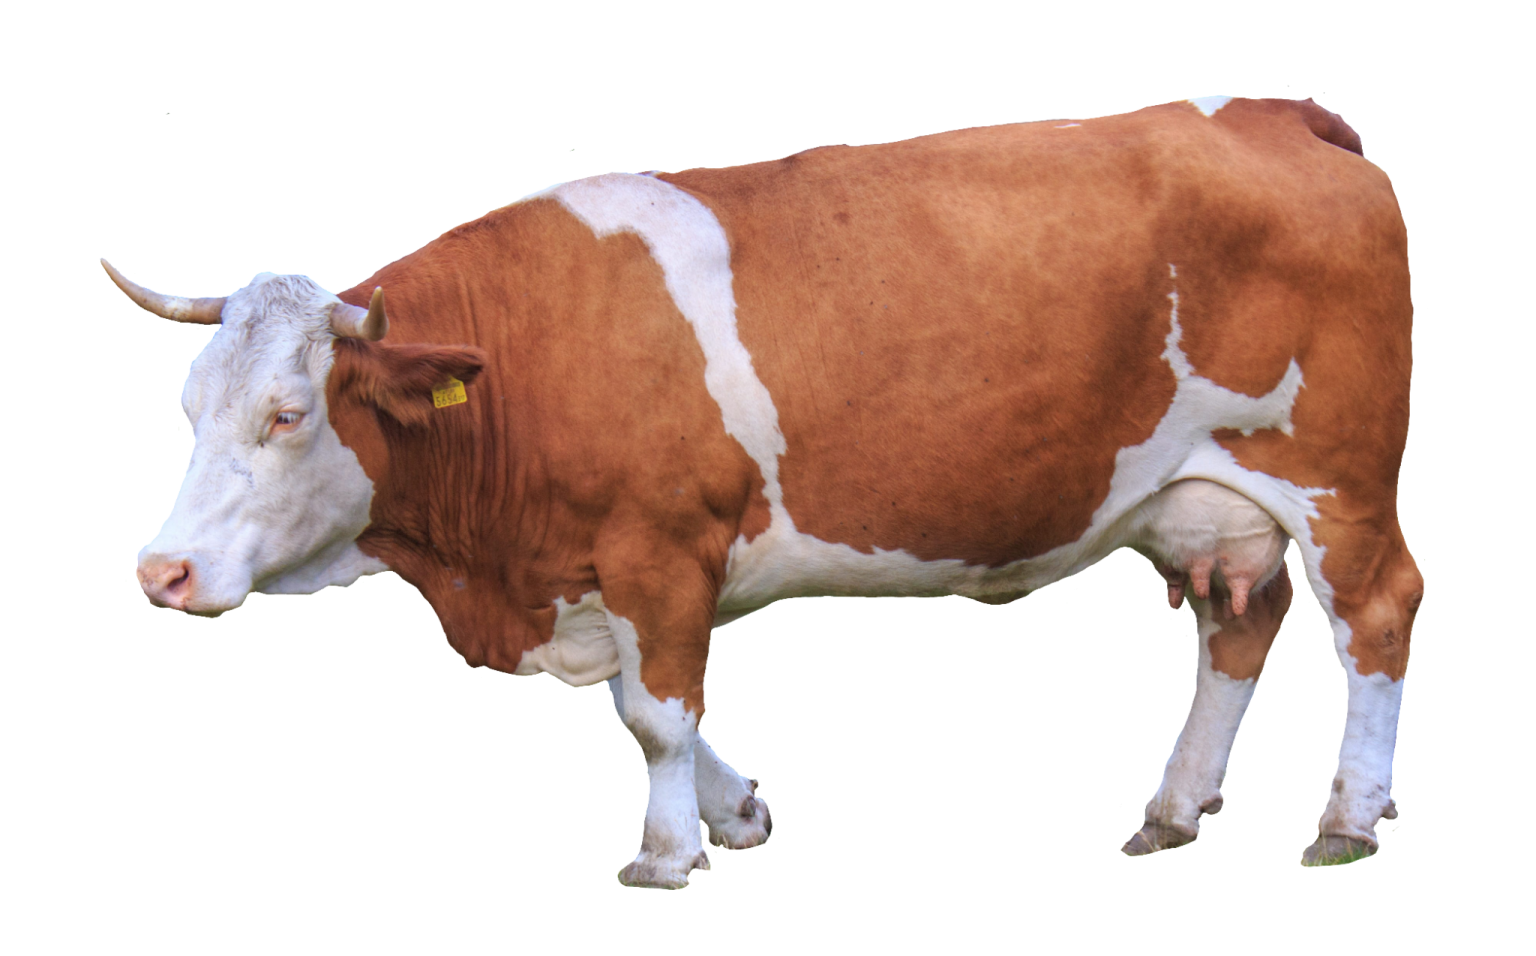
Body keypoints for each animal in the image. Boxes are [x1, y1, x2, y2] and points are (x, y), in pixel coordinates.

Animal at [109, 95, 1422, 885]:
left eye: (289, 412)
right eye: (189, 408)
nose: (161, 570)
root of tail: (1278, 114)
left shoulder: (658, 545)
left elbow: (652, 712)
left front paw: (665, 847)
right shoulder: (610, 573)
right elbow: (643, 699)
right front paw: (732, 810)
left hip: (1339, 475)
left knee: (1376, 616)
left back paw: (1348, 816)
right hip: (1201, 494)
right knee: (1240, 625)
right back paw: (1174, 804)